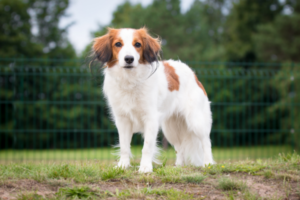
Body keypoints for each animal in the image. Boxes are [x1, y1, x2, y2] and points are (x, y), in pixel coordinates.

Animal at [92, 27, 214, 173]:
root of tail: (194, 75)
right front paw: (123, 165)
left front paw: (145, 167)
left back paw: (208, 163)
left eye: (137, 44)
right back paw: (179, 166)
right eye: (118, 44)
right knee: (180, 148)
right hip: (171, 128)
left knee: (206, 142)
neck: (130, 80)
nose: (129, 59)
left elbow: (147, 147)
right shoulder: (123, 120)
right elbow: (124, 146)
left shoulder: (150, 118)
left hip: (196, 121)